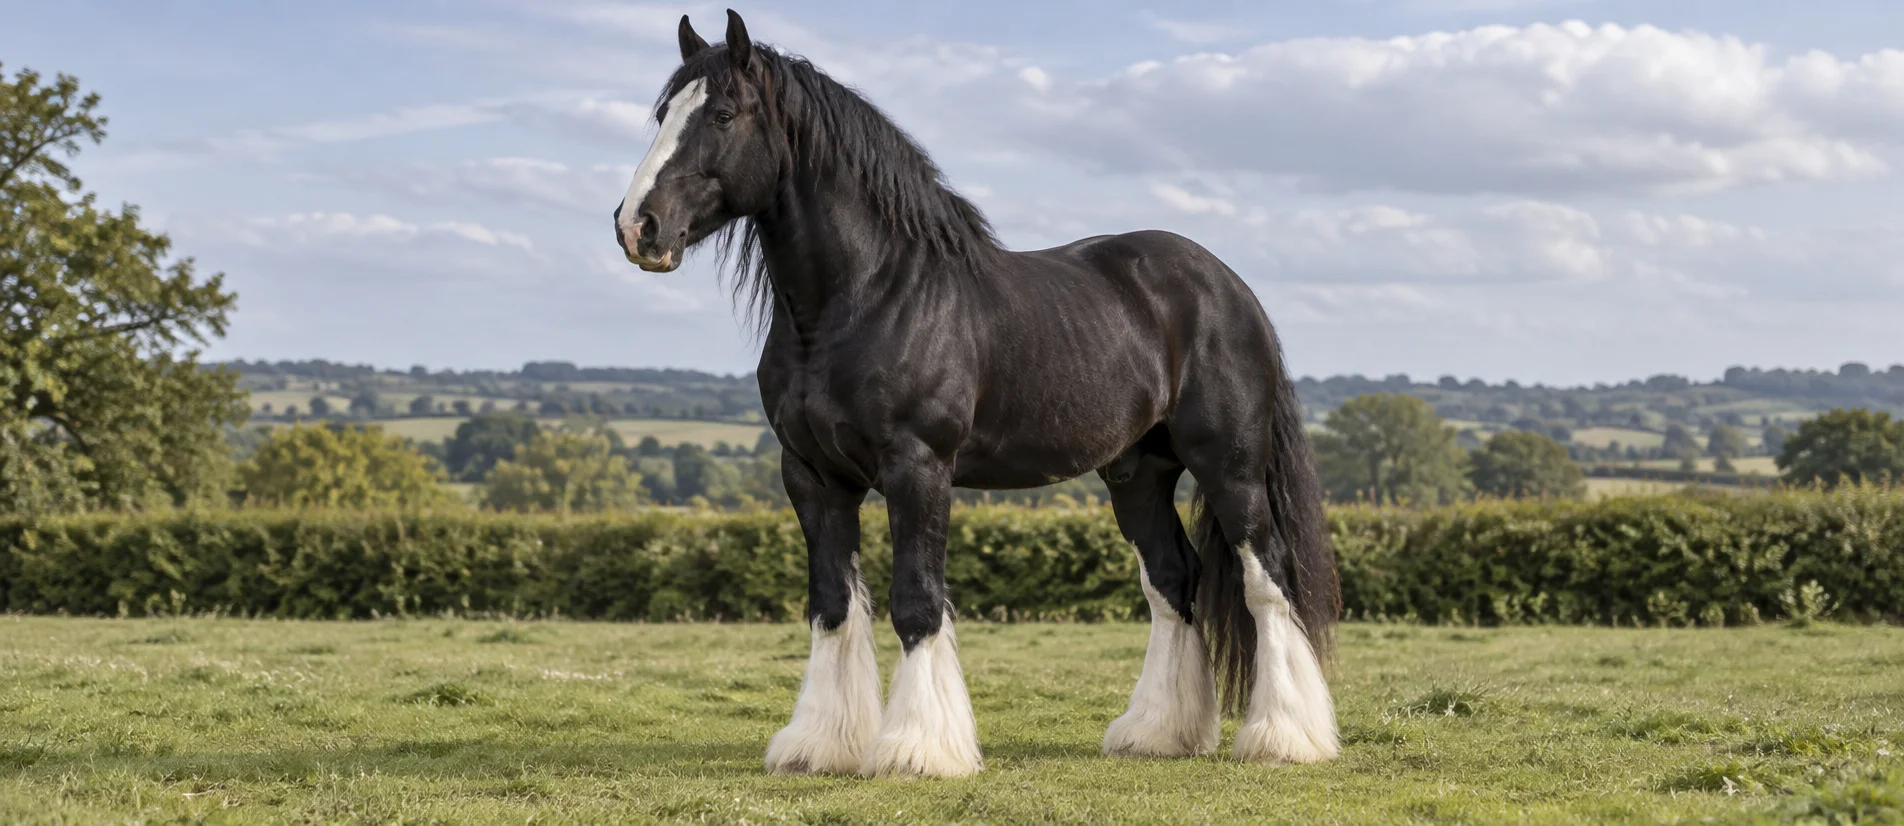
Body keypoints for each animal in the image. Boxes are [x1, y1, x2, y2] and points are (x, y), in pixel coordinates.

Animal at [612, 10, 1341, 779]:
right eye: (663, 114)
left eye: (722, 114)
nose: (638, 226)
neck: (866, 297)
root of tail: (1228, 285)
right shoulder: (812, 476)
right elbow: (833, 605)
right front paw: (821, 744)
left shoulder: (918, 469)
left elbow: (916, 602)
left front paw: (917, 749)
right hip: (1138, 474)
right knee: (1174, 581)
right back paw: (1159, 733)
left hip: (1231, 468)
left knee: (1269, 579)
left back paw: (1286, 737)